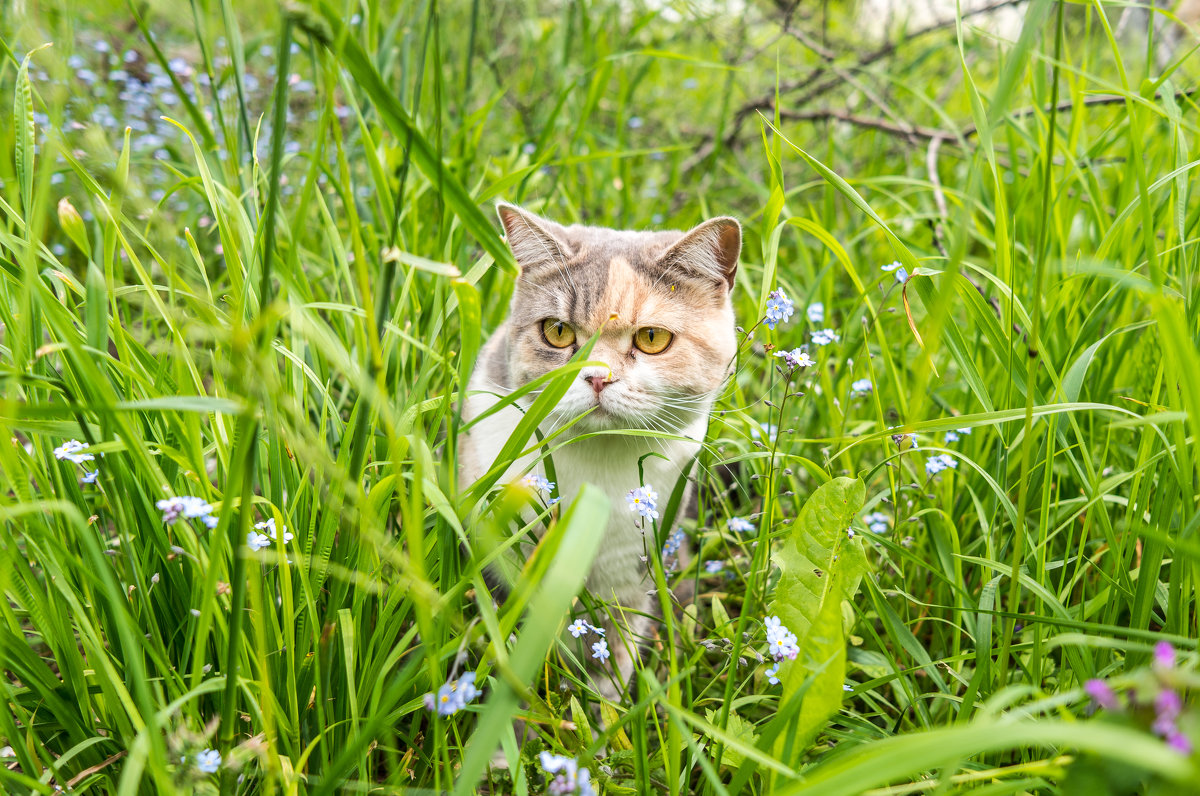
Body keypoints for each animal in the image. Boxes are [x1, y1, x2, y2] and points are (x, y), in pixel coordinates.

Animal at [458, 202, 739, 701]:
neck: (597, 466)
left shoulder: (631, 573)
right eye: (557, 332)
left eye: (652, 338)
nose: (597, 376)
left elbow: (612, 661)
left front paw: (608, 715)